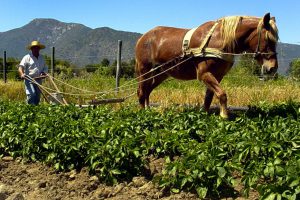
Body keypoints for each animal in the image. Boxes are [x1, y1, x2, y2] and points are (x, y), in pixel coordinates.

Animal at [135, 12, 278, 118]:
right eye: (268, 38)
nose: (273, 68)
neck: (220, 39)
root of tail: (143, 38)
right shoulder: (204, 73)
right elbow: (222, 94)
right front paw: (224, 116)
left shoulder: (217, 76)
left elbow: (209, 98)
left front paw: (205, 114)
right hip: (145, 70)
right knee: (141, 92)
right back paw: (142, 113)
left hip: (162, 73)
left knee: (147, 90)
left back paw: (148, 110)